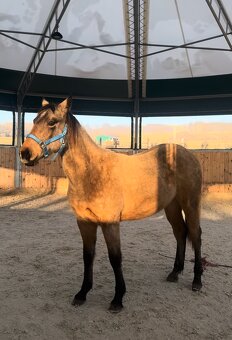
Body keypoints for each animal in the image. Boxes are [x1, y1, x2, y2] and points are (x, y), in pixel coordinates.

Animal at [20, 97, 204, 312]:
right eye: (34, 120)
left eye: (52, 122)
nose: (25, 153)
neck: (92, 172)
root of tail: (188, 154)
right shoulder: (84, 222)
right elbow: (88, 255)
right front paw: (82, 293)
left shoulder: (110, 223)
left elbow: (115, 258)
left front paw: (118, 298)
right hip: (171, 206)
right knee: (180, 232)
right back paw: (175, 272)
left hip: (190, 205)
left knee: (195, 235)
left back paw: (197, 281)